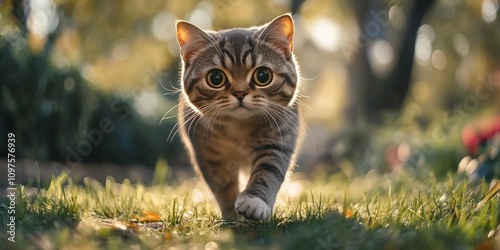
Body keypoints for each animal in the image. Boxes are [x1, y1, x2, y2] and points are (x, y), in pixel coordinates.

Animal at [176, 14, 300, 221]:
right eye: (216, 78)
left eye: (263, 75)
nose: (240, 93)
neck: (239, 127)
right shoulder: (207, 152)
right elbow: (222, 186)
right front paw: (231, 215)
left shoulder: (278, 138)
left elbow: (268, 170)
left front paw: (255, 202)